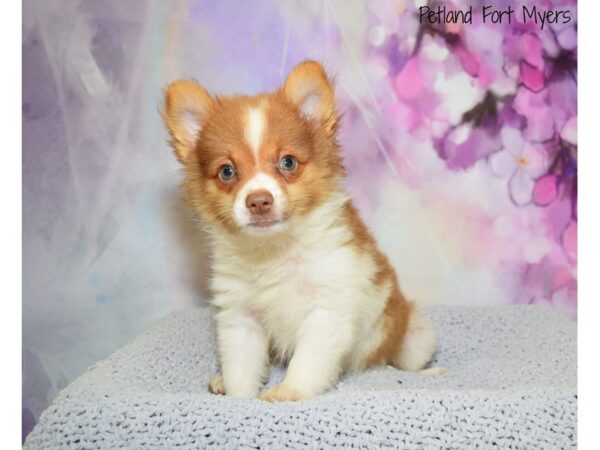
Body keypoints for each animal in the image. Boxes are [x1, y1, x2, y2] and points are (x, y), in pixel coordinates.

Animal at [162, 61, 438, 402]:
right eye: (227, 171)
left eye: (288, 163)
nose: (259, 201)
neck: (275, 251)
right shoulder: (240, 317)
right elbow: (240, 367)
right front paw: (238, 396)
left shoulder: (326, 310)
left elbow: (308, 361)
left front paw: (288, 391)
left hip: (415, 336)